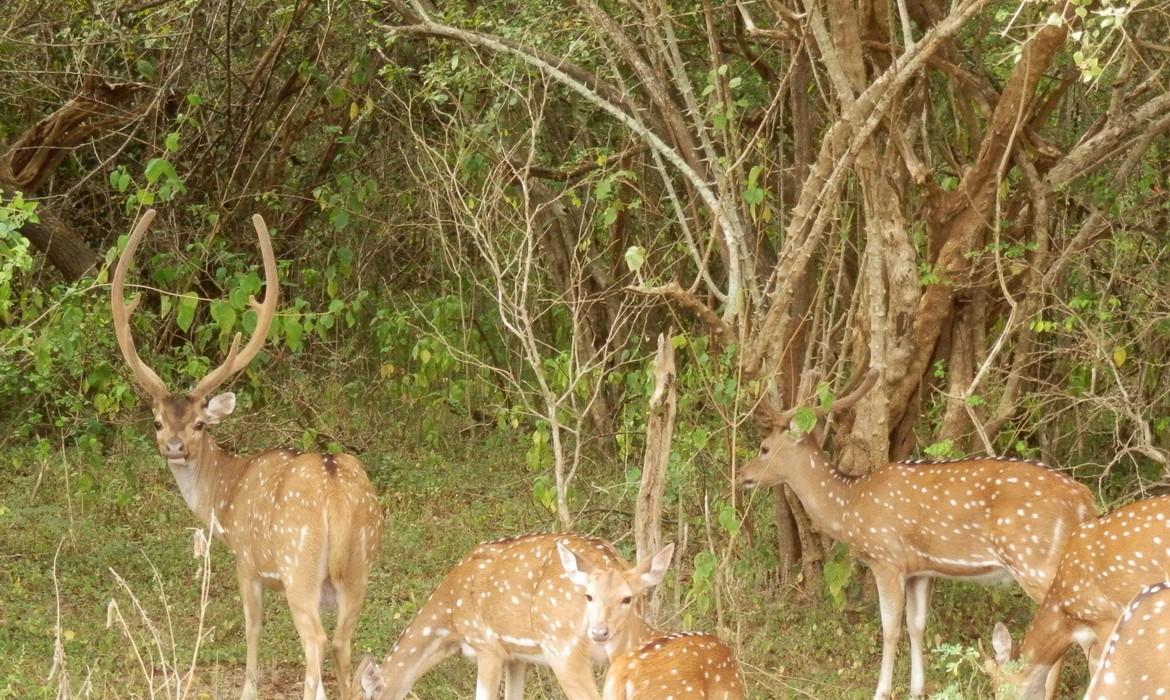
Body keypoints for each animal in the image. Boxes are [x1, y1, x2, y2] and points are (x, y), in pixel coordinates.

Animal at [111, 209, 384, 700]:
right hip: (361, 565)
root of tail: (337, 495)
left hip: (299, 565)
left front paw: (248, 688)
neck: (226, 495)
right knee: (342, 641)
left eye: (200, 424)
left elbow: (252, 626)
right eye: (158, 422)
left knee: (316, 641)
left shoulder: (246, 560)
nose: (175, 448)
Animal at [737, 368, 1097, 700]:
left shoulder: (886, 558)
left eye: (764, 448)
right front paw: (917, 689)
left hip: (1037, 562)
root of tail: (1084, 500)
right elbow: (917, 625)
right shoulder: (920, 570)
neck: (848, 505)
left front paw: (881, 691)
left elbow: (889, 628)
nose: (742, 475)